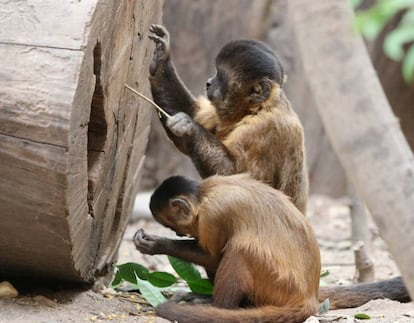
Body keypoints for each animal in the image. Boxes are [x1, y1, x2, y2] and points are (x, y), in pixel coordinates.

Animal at [136, 175, 320, 323]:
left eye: (172, 227)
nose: (178, 233)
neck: (205, 194)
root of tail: (308, 297)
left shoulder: (212, 215)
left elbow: (213, 257)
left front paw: (157, 244)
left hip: (277, 285)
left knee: (239, 249)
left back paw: (218, 306)